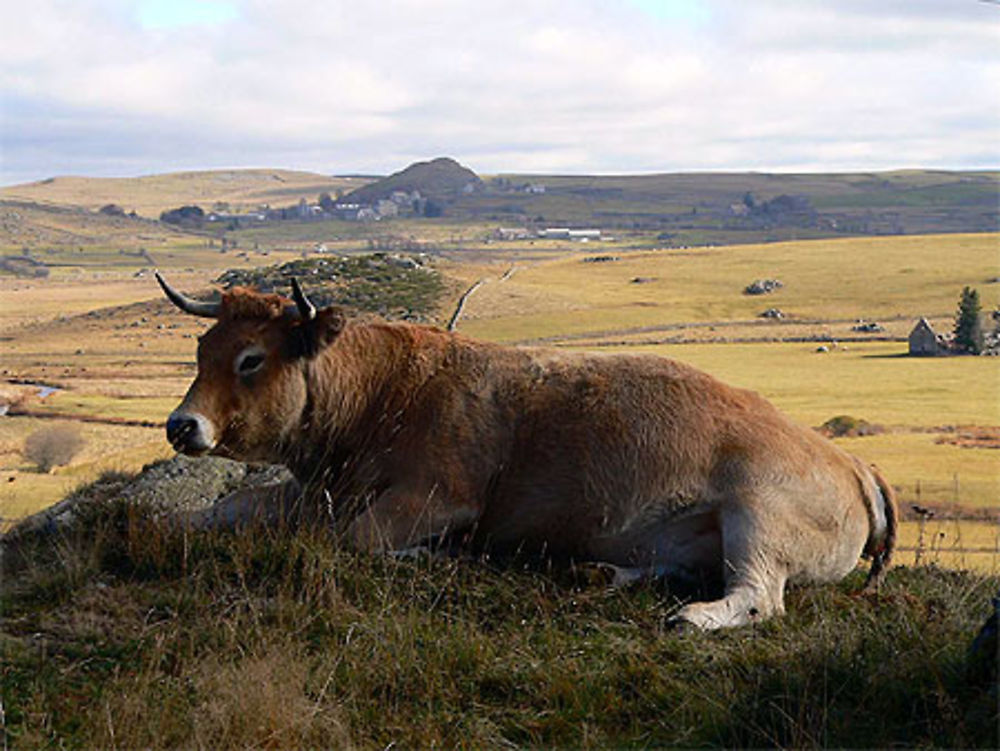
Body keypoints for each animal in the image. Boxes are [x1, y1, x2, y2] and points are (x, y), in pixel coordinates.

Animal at [158, 274, 900, 632]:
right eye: (203, 349)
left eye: (252, 359)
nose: (181, 425)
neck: (386, 390)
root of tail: (852, 465)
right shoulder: (314, 492)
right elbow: (235, 506)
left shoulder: (436, 498)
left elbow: (354, 540)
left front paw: (435, 555)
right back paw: (601, 572)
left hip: (758, 520)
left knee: (757, 598)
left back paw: (692, 617)